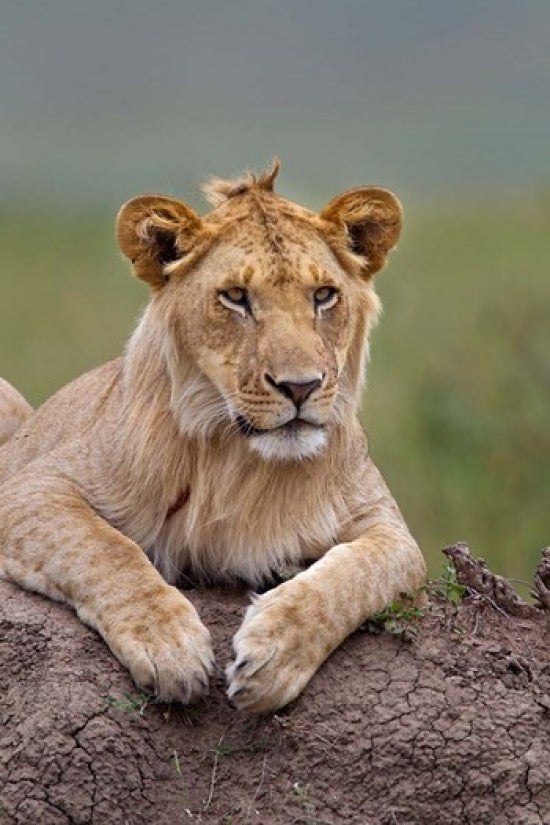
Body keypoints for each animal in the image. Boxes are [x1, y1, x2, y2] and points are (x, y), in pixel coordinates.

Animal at [0, 160, 426, 713]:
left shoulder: (389, 529)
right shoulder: (32, 489)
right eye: (236, 297)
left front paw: (273, 653)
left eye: (324, 295)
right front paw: (168, 645)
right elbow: (105, 549)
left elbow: (354, 575)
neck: (238, 461)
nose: (301, 386)